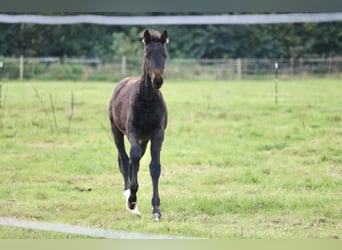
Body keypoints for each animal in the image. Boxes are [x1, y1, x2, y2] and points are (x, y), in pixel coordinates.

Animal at [109, 29, 169, 221]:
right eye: (147, 55)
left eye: (164, 55)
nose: (158, 80)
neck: (147, 100)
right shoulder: (132, 131)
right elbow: (132, 156)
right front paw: (132, 200)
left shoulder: (157, 134)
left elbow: (154, 167)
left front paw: (156, 210)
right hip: (116, 131)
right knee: (124, 158)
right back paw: (128, 195)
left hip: (144, 139)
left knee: (133, 161)